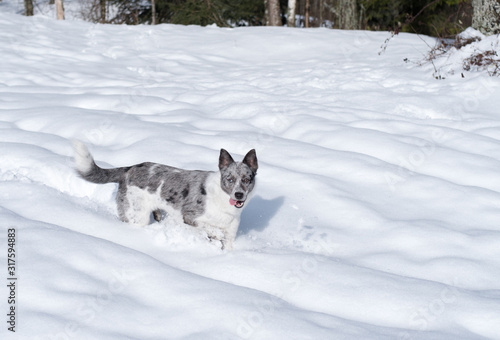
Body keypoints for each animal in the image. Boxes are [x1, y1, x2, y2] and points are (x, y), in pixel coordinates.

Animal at [73, 141, 258, 250]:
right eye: (230, 179)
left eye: (246, 179)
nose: (239, 195)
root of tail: (128, 169)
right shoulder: (190, 216)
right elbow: (208, 228)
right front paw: (215, 234)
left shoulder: (230, 234)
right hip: (137, 216)